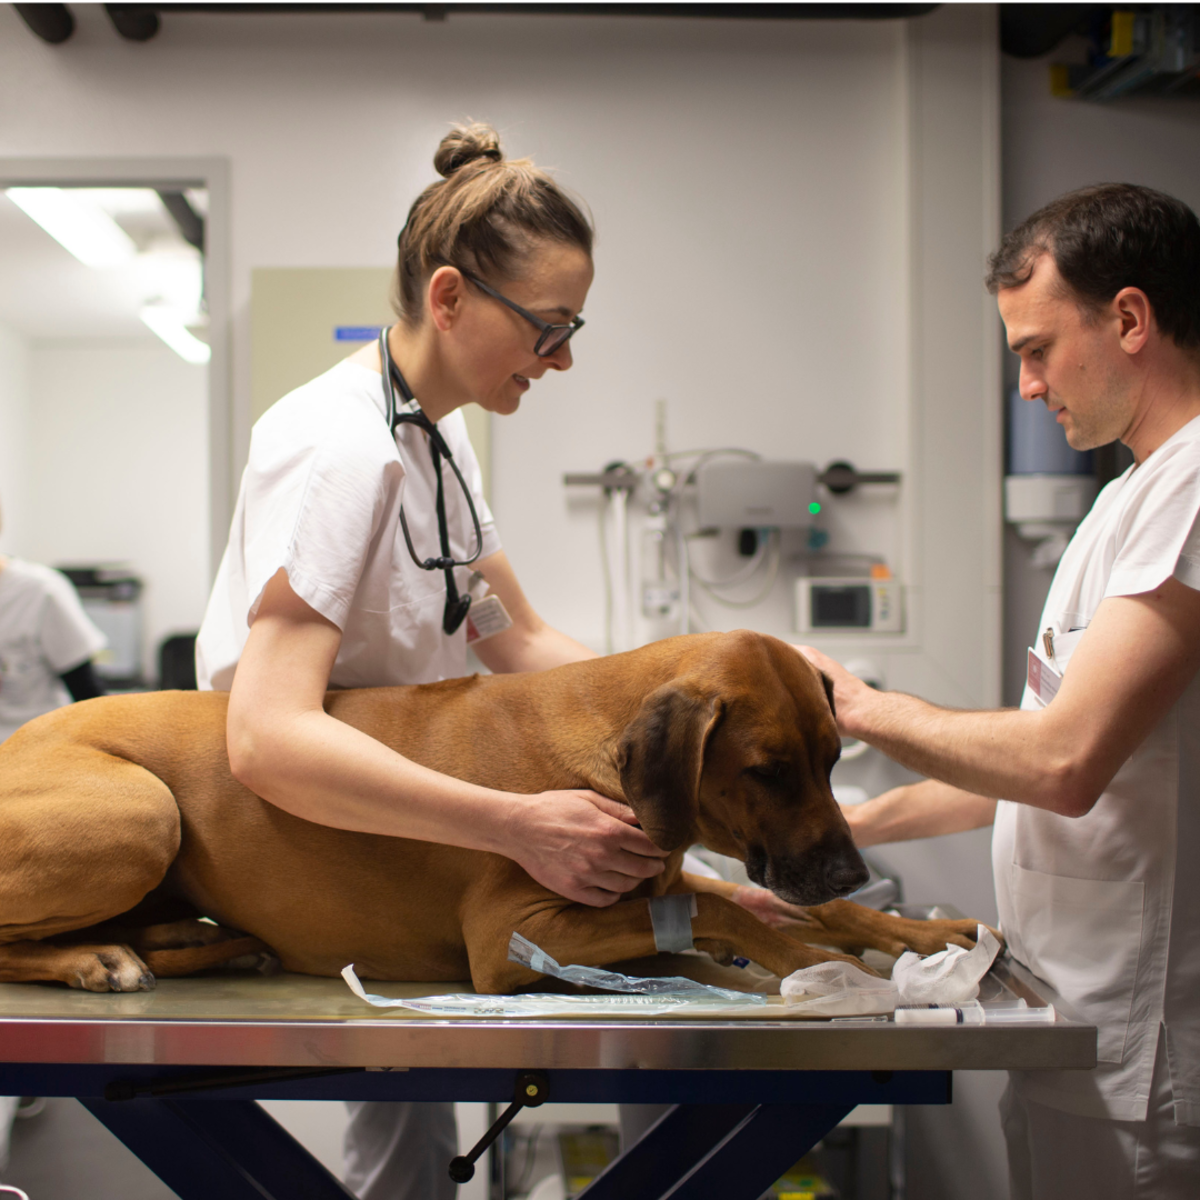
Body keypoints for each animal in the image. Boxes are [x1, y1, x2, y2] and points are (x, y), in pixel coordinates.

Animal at [0, 628, 984, 993]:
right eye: (769, 770)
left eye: (834, 760)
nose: (852, 868)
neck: (604, 740)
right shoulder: (507, 936)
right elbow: (720, 908)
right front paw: (811, 957)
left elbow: (736, 900)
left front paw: (917, 933)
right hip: (143, 811)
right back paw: (97, 958)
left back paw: (203, 942)